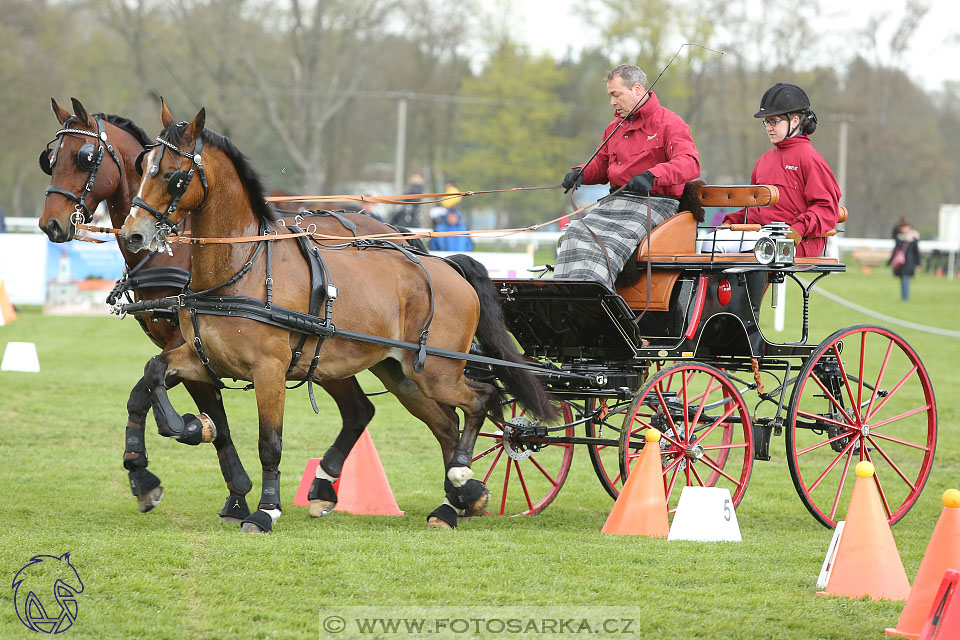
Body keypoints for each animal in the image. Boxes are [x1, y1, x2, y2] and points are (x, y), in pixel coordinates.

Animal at [36, 97, 428, 524]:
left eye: (85, 158)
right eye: (51, 159)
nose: (50, 224)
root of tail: (392, 231)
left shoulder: (192, 345)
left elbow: (184, 407)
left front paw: (220, 477)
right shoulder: (194, 348)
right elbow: (149, 392)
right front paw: (146, 471)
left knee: (364, 409)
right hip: (327, 355)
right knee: (359, 410)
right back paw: (324, 487)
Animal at [119, 100, 556, 528]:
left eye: (174, 176)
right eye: (142, 167)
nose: (133, 233)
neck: (242, 268)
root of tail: (446, 266)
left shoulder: (269, 370)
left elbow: (269, 442)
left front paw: (265, 509)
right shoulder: (202, 356)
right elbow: (149, 379)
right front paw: (161, 454)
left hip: (438, 371)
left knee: (480, 400)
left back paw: (462, 478)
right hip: (400, 372)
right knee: (446, 423)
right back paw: (453, 503)